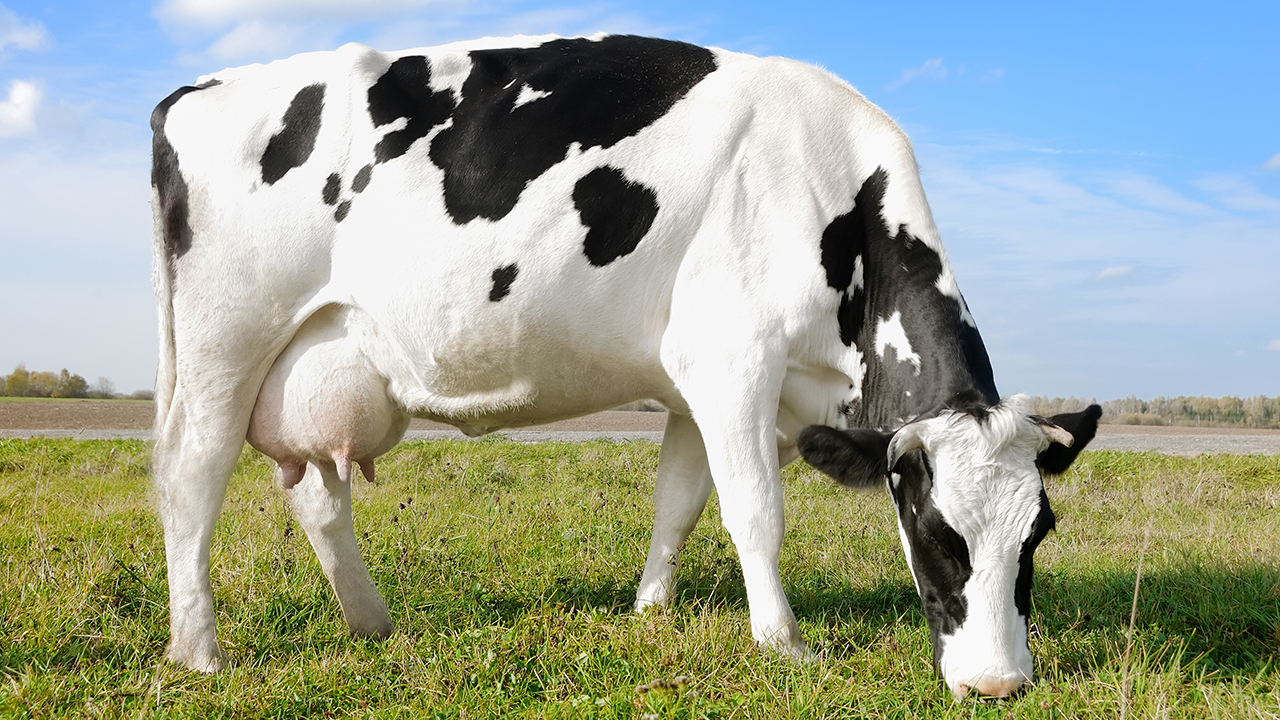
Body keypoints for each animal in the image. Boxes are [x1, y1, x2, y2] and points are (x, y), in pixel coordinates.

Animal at [150, 33, 1100, 698]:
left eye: (1038, 534)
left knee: (316, 494)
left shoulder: (692, 385)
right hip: (225, 344)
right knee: (191, 478)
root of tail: (199, 90)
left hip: (319, 362)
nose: (999, 685)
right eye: (937, 533)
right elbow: (756, 512)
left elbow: (678, 503)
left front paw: (650, 613)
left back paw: (372, 624)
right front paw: (784, 644)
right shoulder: (733, 361)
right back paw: (201, 652)